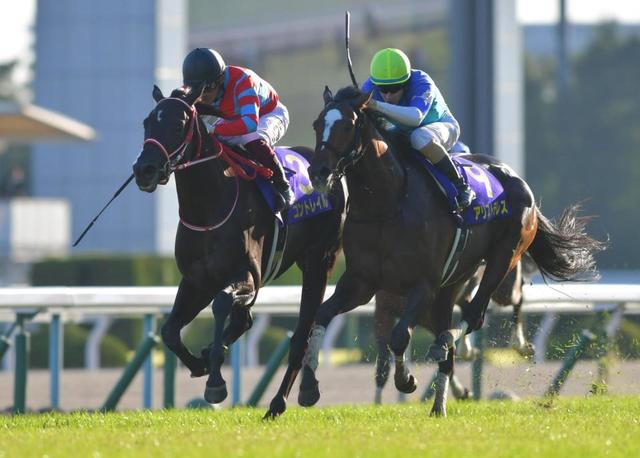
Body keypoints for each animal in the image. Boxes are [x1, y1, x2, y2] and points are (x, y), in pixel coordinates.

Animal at [132, 85, 346, 405]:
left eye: (179, 124)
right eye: (147, 122)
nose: (144, 169)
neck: (207, 209)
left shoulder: (247, 275)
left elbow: (221, 303)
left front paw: (215, 380)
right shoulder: (197, 280)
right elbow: (169, 330)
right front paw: (201, 362)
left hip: (320, 259)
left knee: (306, 323)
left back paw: (304, 387)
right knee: (247, 321)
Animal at [264, 85, 603, 418]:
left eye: (348, 125)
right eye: (317, 124)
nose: (318, 172)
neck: (387, 204)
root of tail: (515, 177)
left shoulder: (423, 284)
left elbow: (399, 337)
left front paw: (406, 379)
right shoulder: (362, 283)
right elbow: (321, 317)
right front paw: (309, 387)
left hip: (503, 260)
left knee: (475, 316)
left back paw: (456, 345)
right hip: (454, 281)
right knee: (450, 324)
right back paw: (439, 404)